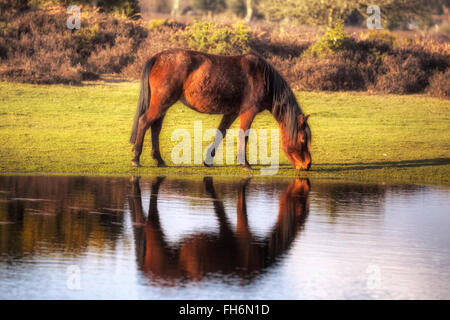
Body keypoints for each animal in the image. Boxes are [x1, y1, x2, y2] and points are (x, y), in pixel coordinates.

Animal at [130, 48, 312, 170]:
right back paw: (136, 157)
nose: (308, 164)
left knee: (155, 127)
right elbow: (244, 135)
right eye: (303, 139)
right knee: (144, 121)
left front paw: (208, 160)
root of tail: (157, 57)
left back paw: (159, 160)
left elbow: (221, 133)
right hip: (161, 104)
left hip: (163, 105)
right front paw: (244, 163)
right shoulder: (248, 112)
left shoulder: (231, 112)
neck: (262, 77)